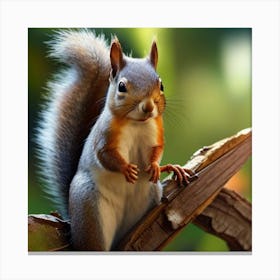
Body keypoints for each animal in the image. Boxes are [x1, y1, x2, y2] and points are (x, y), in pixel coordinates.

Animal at [37, 29, 192, 250]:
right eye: (121, 86)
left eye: (161, 84)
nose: (148, 107)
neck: (137, 124)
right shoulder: (104, 137)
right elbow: (105, 156)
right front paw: (126, 168)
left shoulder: (156, 131)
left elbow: (157, 150)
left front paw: (163, 167)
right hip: (91, 211)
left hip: (147, 201)